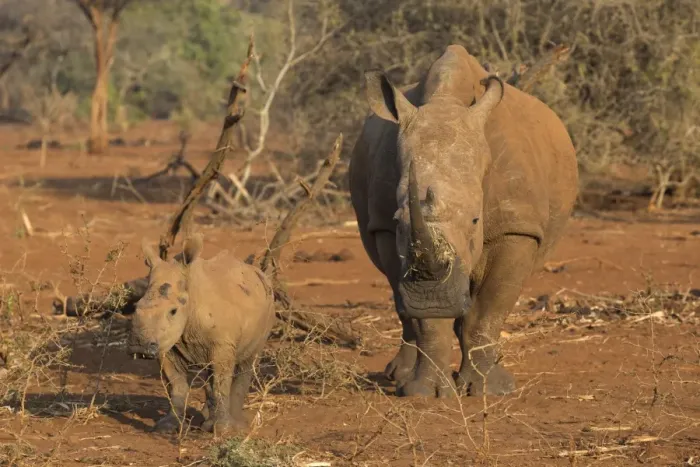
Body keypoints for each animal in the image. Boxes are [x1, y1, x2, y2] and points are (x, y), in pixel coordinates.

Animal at [128, 234, 275, 434]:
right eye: (136, 307)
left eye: (173, 311)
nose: (139, 345)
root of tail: (259, 273)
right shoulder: (166, 344)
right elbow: (176, 385)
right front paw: (168, 426)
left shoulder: (223, 344)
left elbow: (221, 382)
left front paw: (223, 430)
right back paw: (206, 422)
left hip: (269, 307)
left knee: (247, 362)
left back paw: (237, 425)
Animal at [348, 44, 578, 397]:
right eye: (399, 219)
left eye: (475, 219)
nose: (434, 296)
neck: (446, 102)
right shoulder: (385, 228)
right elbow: (424, 319)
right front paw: (426, 393)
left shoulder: (517, 227)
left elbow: (489, 310)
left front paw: (487, 390)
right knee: (403, 304)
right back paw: (399, 376)